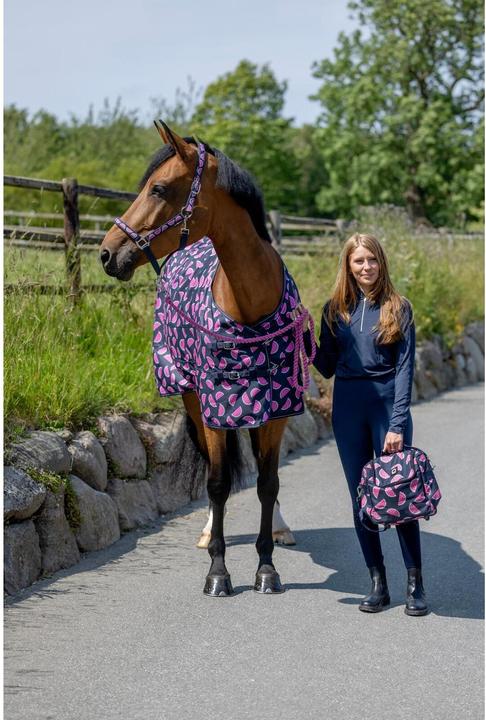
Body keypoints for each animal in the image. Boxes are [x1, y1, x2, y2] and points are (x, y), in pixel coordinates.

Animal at [100, 122, 314, 596]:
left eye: (159, 189)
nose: (106, 253)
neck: (249, 306)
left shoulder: (276, 409)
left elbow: (268, 482)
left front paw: (267, 568)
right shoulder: (216, 407)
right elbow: (217, 483)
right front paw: (218, 571)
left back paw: (281, 526)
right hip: (192, 398)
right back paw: (207, 532)